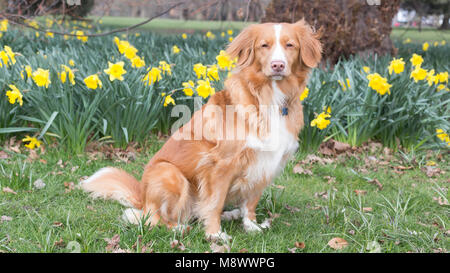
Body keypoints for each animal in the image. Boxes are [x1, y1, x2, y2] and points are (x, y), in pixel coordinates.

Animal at [80, 18, 320, 240]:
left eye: (290, 45)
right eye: (264, 45)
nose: (278, 65)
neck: (269, 97)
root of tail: (142, 196)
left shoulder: (266, 162)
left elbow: (251, 201)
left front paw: (251, 225)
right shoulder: (220, 165)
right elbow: (214, 202)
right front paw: (215, 234)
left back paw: (230, 214)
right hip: (170, 173)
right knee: (152, 219)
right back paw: (178, 227)